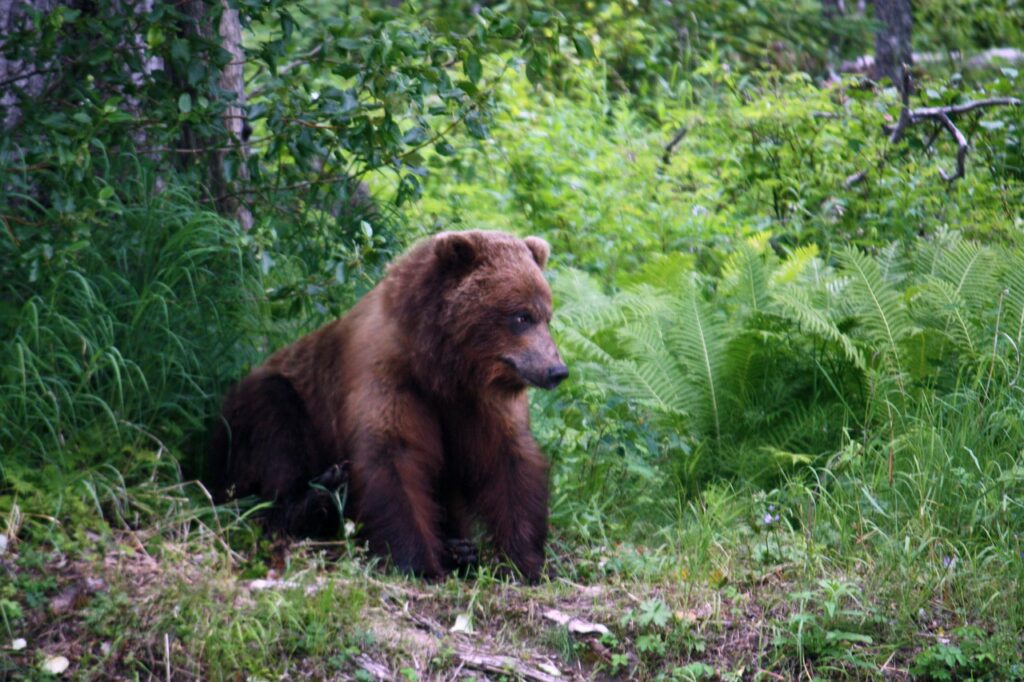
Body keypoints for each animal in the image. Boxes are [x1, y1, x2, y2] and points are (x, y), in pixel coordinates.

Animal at [209, 229, 569, 577]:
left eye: (546, 317)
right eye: (520, 316)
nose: (557, 370)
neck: (440, 368)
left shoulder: (480, 401)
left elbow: (508, 461)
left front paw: (525, 561)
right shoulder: (387, 377)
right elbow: (394, 457)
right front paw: (417, 563)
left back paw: (460, 550)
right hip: (270, 405)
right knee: (273, 432)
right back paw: (317, 495)